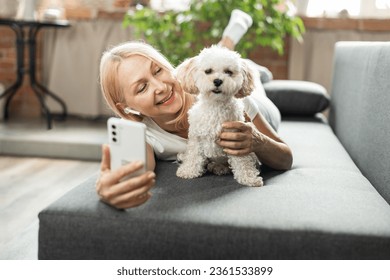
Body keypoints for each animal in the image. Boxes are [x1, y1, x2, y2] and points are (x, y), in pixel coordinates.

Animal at [176, 44, 262, 187]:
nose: (217, 81)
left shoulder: (236, 140)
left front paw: (248, 177)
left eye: (228, 72)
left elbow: (242, 161)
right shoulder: (196, 138)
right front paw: (188, 171)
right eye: (208, 71)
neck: (216, 106)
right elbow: (193, 155)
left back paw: (219, 167)